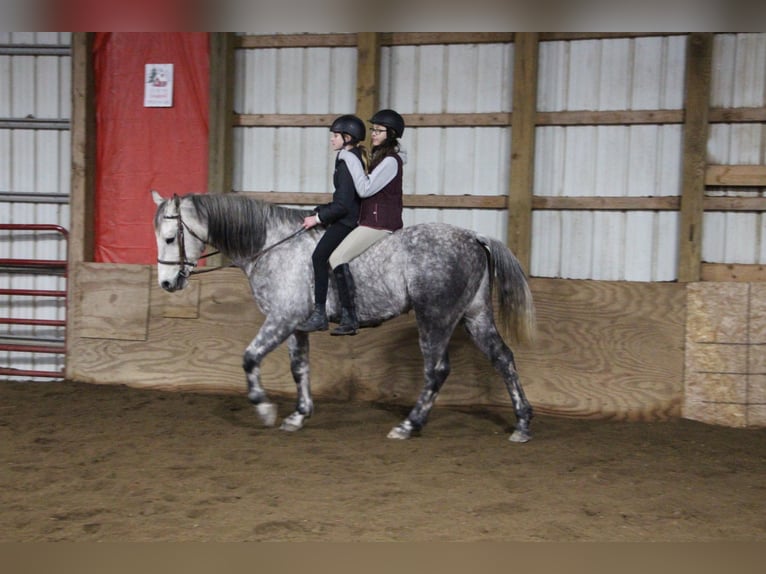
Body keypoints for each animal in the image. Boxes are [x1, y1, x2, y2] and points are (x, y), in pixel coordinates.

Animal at [153, 191, 536, 444]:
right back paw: (522, 424)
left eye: (171, 238)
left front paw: (264, 409)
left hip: (435, 317)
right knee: (503, 358)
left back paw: (409, 425)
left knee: (437, 370)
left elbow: (249, 358)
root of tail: (474, 236)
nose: (167, 284)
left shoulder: (281, 318)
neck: (272, 245)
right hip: (475, 315)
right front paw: (298, 415)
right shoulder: (295, 324)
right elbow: (299, 368)